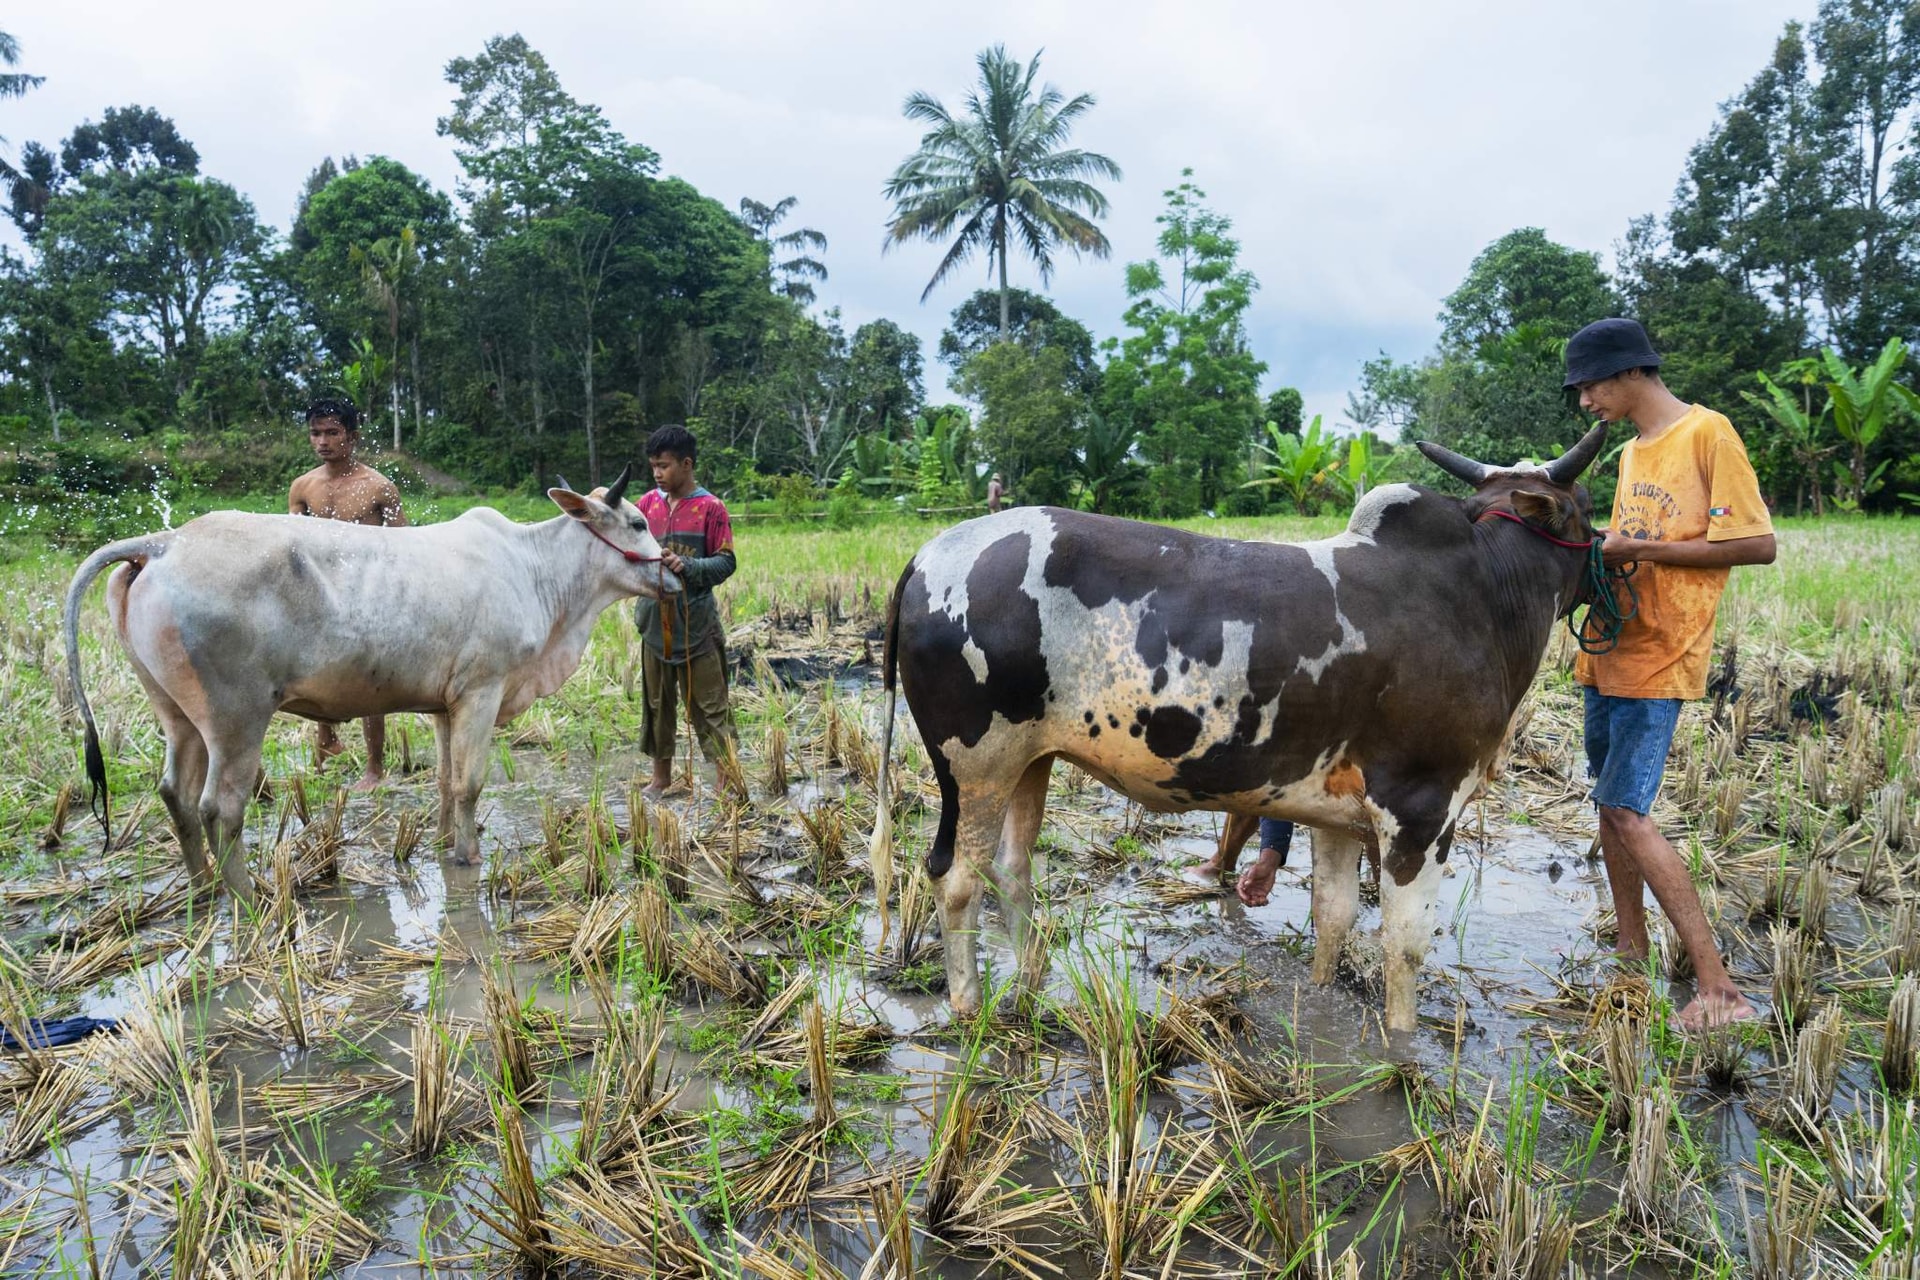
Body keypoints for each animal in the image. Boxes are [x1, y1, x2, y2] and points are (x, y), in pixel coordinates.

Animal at [60, 466, 679, 898]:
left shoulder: (445, 705)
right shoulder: (483, 690)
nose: (674, 574)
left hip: (176, 713)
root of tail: (164, 543)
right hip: (236, 718)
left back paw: (203, 886)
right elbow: (469, 784)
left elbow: (444, 781)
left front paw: (443, 844)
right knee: (219, 807)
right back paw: (246, 899)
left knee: (175, 793)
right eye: (639, 523)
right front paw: (469, 858)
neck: (534, 569)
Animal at [871, 429, 1605, 1028]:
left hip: (1032, 760)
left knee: (1013, 871)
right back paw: (970, 1006)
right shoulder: (1422, 810)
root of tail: (927, 555)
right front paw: (1402, 1055)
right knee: (955, 878)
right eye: (1587, 510)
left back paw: (1028, 988)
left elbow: (1334, 919)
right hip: (975, 767)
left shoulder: (1341, 812)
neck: (1486, 595)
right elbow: (1405, 949)